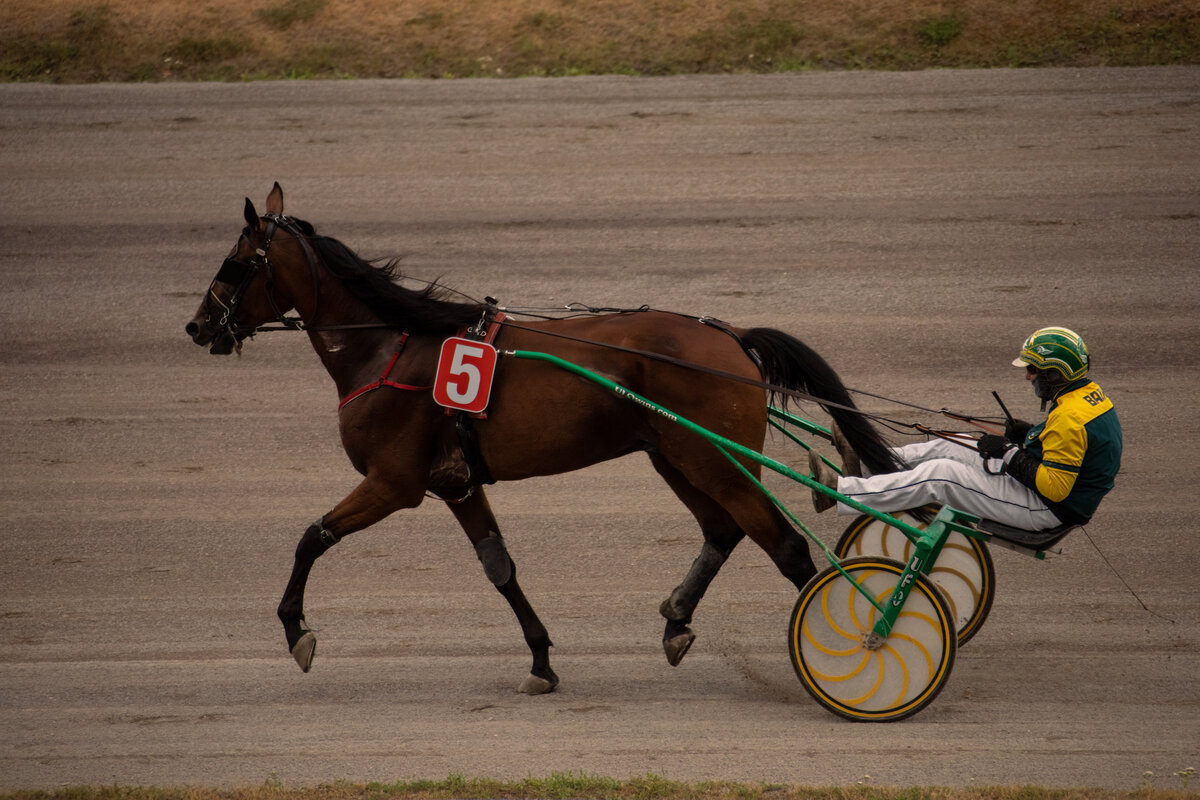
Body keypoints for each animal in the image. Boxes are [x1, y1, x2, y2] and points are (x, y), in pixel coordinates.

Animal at [187, 183, 902, 695]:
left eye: (235, 263)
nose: (197, 326)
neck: (387, 346)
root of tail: (729, 335)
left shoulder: (394, 482)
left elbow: (311, 538)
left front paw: (296, 632)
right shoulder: (455, 484)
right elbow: (499, 567)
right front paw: (539, 659)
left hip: (713, 458)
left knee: (785, 545)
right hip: (676, 456)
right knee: (724, 530)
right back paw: (677, 620)